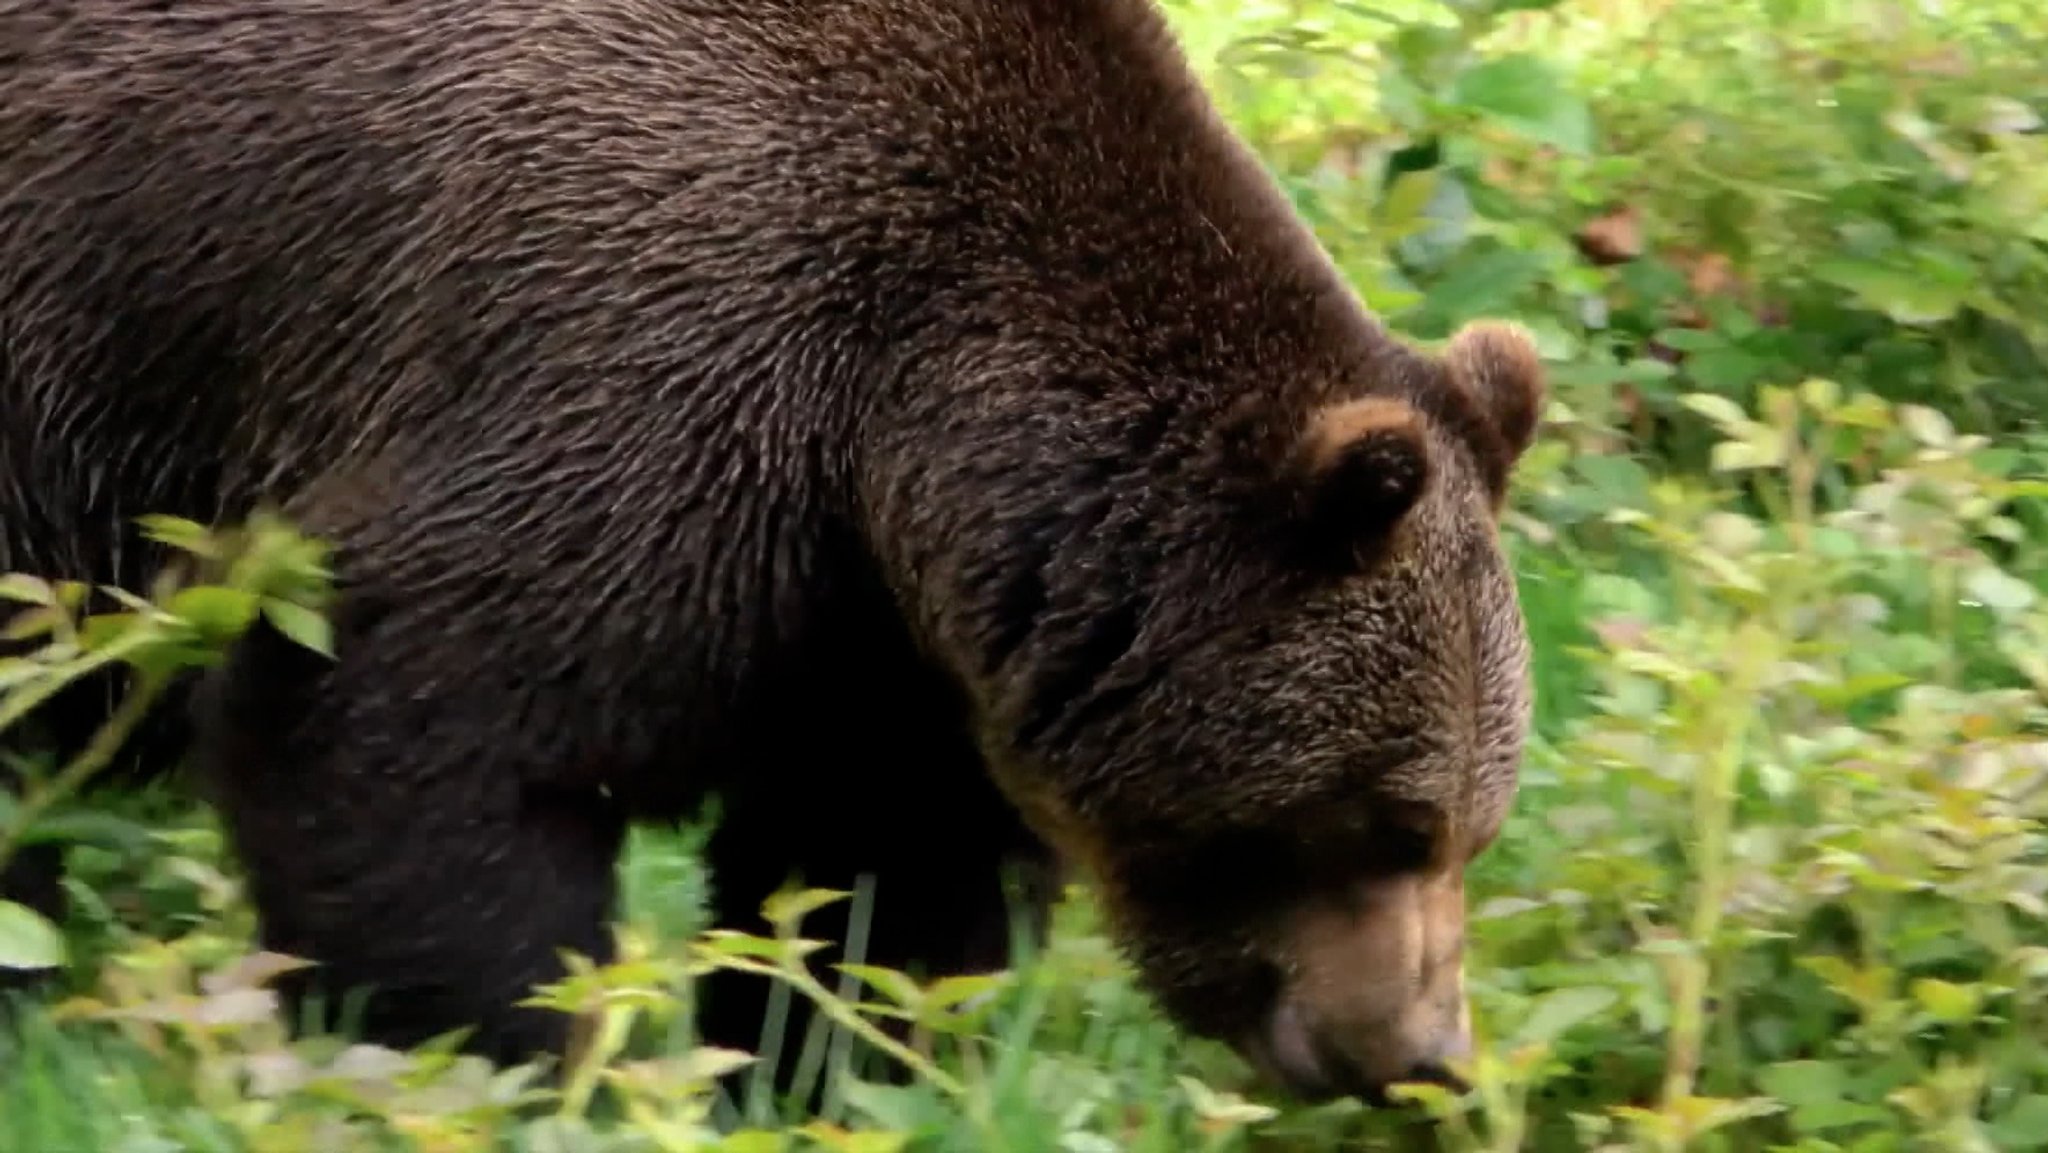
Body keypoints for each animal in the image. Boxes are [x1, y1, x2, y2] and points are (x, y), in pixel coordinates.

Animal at [0, 0, 1540, 1105]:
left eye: (1474, 825)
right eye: (1389, 820)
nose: (1417, 1056)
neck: (902, 422)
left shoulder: (878, 634)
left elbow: (872, 890)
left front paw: (833, 1072)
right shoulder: (633, 364)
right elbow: (418, 738)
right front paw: (502, 1062)